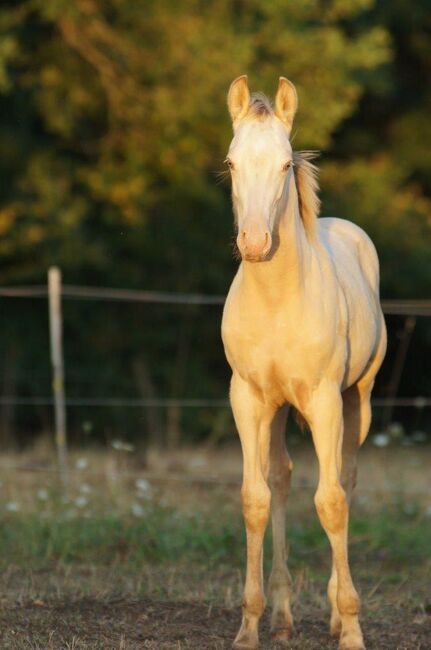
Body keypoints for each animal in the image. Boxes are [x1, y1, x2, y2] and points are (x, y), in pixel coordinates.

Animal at [223, 77, 388, 648]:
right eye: (231, 163)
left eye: (284, 165)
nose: (254, 243)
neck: (277, 300)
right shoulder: (248, 399)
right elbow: (254, 498)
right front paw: (248, 627)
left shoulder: (323, 400)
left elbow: (331, 502)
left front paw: (352, 629)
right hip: (276, 410)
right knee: (280, 481)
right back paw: (282, 615)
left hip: (356, 400)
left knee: (347, 482)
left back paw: (337, 615)